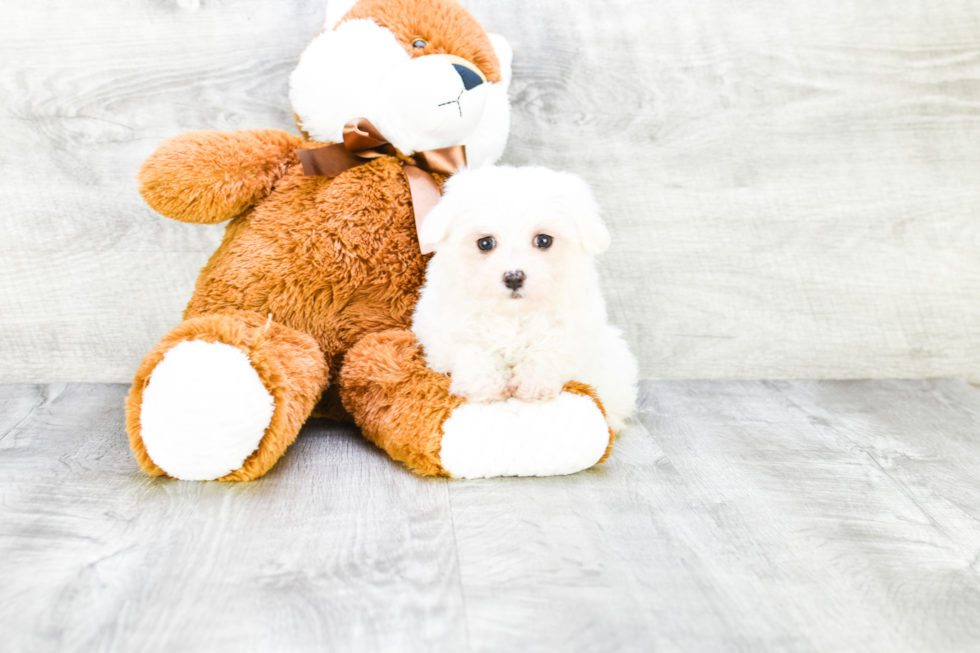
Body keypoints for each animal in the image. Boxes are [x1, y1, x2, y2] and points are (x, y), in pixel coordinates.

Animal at [410, 164, 640, 432]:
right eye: (485, 243)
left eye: (543, 240)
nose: (513, 277)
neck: (514, 314)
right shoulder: (444, 330)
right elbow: (472, 349)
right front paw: (484, 386)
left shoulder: (572, 331)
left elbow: (548, 352)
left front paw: (534, 386)